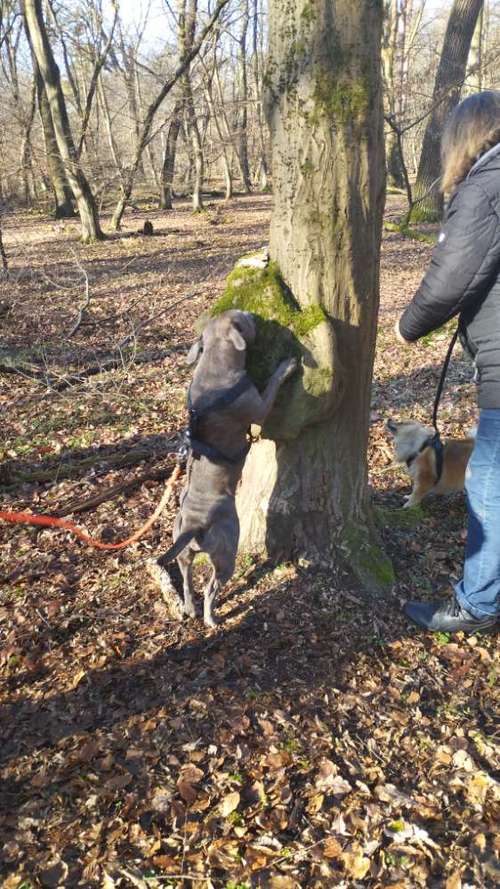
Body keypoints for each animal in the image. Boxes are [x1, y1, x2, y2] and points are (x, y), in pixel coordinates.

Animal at [150, 308, 294, 628]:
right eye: (244, 318)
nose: (254, 314)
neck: (215, 362)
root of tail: (194, 526)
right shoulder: (259, 405)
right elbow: (273, 384)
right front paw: (288, 365)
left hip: (183, 553)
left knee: (188, 581)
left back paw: (189, 609)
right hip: (227, 553)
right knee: (210, 588)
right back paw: (211, 617)